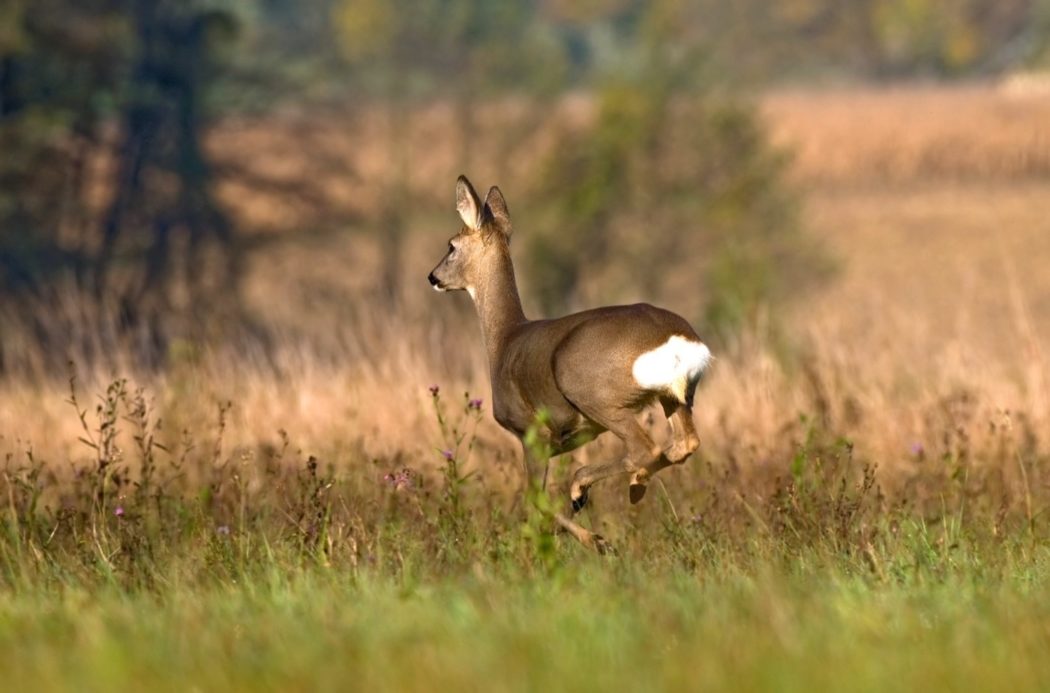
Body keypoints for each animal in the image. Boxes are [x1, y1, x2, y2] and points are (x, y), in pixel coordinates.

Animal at [428, 175, 711, 553]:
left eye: (452, 245)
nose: (432, 277)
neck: (505, 339)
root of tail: (677, 338)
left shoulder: (531, 430)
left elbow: (534, 497)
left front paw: (591, 537)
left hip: (593, 394)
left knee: (646, 448)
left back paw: (586, 493)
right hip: (675, 396)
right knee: (684, 444)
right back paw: (631, 487)